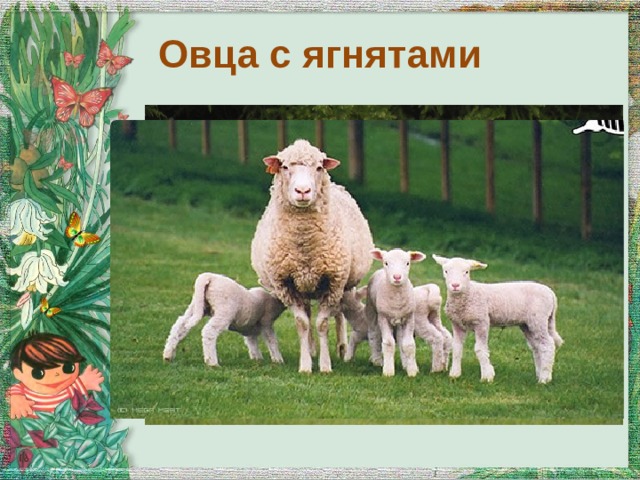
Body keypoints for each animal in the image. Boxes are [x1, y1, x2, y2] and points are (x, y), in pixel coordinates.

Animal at [251, 139, 374, 373]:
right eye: (284, 167)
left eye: (318, 168)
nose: (303, 190)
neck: (304, 245)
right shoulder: (286, 285)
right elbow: (302, 324)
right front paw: (306, 364)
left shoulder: (333, 282)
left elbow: (323, 323)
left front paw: (325, 366)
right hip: (304, 286)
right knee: (308, 313)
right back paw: (311, 349)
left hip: (345, 283)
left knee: (339, 313)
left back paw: (341, 348)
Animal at [365, 248, 426, 377]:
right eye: (386, 263)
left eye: (407, 263)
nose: (397, 277)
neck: (397, 298)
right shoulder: (383, 318)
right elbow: (388, 343)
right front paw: (388, 371)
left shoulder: (409, 318)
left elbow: (408, 344)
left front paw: (412, 370)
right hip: (371, 310)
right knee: (373, 334)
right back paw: (377, 360)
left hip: (400, 321)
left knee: (400, 338)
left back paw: (405, 363)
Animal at [432, 254, 563, 383]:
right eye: (446, 271)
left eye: (466, 272)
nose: (455, 285)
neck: (469, 292)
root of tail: (551, 293)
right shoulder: (457, 324)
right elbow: (457, 348)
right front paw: (454, 374)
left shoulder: (482, 321)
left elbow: (480, 349)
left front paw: (486, 377)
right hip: (527, 324)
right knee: (537, 347)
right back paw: (540, 374)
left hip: (538, 319)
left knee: (547, 345)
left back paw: (544, 379)